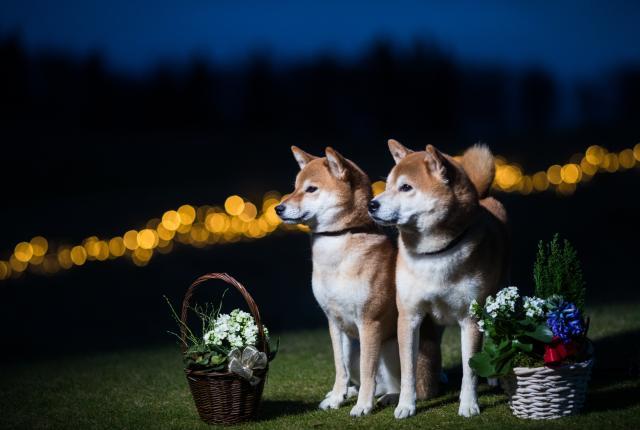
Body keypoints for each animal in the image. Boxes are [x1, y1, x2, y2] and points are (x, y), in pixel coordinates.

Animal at [276, 147, 404, 416]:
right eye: (295, 187)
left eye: (311, 189)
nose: (278, 208)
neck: (339, 240)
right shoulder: (334, 321)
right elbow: (339, 367)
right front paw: (337, 397)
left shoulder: (369, 322)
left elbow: (368, 371)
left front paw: (363, 406)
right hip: (355, 348)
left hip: (392, 346)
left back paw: (389, 397)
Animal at [368, 139, 508, 418]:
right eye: (386, 185)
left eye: (406, 187)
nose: (371, 204)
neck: (434, 255)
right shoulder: (409, 316)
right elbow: (408, 369)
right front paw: (405, 405)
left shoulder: (470, 319)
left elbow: (470, 369)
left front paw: (469, 404)